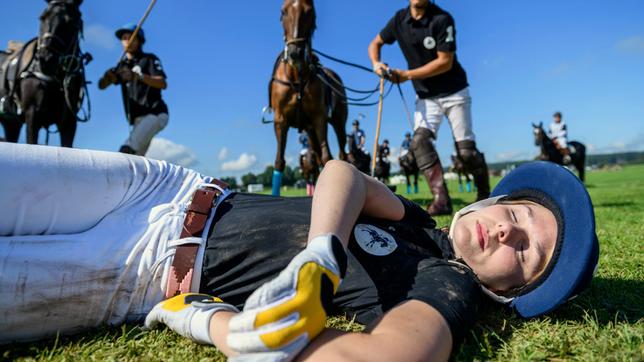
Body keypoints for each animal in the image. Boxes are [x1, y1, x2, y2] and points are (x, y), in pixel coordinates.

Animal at [0, 0, 90, 147]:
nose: (46, 59)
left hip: (11, 123)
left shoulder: (69, 122)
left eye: (71, 21)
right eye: (42, 17)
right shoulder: (32, 114)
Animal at [268, 0, 348, 195]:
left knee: (340, 154)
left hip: (338, 123)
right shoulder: (280, 121)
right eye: (283, 11)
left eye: (310, 11)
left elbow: (327, 157)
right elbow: (279, 161)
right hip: (310, 130)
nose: (295, 52)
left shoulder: (319, 118)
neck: (297, 77)